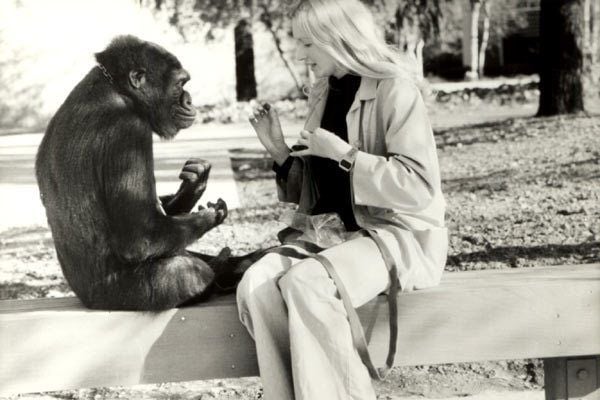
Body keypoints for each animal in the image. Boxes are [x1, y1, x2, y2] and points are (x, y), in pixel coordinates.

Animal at [35, 35, 258, 310]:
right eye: (180, 84)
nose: (189, 99)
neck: (121, 91)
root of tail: (85, 300)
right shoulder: (130, 131)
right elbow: (143, 235)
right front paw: (210, 215)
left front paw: (193, 184)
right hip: (123, 297)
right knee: (186, 272)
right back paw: (219, 269)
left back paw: (237, 264)